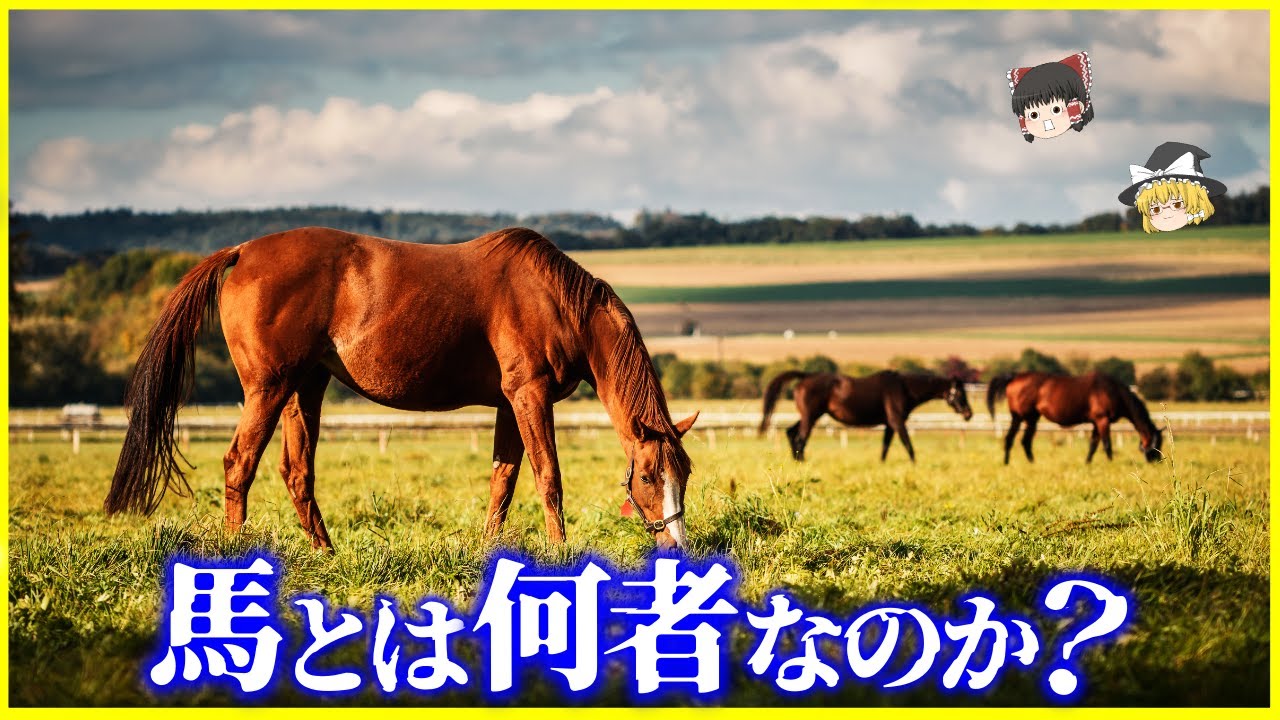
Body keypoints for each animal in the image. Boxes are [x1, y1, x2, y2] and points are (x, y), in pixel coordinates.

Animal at [104, 226, 700, 550]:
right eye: (649, 476)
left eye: (685, 475)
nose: (676, 548)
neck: (554, 300)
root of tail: (243, 251)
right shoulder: (529, 397)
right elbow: (547, 477)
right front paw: (560, 553)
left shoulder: (509, 405)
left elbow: (502, 481)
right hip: (268, 390)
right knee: (239, 464)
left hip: (304, 388)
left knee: (296, 473)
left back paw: (327, 554)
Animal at [759, 370, 973, 461]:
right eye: (960, 393)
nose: (969, 414)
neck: (904, 389)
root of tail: (805, 377)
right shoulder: (897, 421)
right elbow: (908, 445)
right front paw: (915, 463)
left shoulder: (889, 424)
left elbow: (885, 447)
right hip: (811, 416)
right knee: (801, 438)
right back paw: (801, 461)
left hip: (810, 415)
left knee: (791, 432)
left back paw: (796, 459)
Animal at [986, 371, 1163, 464]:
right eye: (1157, 444)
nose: (1157, 461)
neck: (1113, 391)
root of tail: (1015, 377)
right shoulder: (1102, 420)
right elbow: (1107, 444)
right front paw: (1110, 462)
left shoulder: (1096, 423)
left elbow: (1093, 444)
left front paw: (1087, 463)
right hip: (1025, 417)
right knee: (1020, 440)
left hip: (1025, 418)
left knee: (1016, 440)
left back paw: (1018, 463)